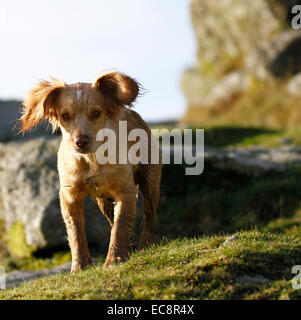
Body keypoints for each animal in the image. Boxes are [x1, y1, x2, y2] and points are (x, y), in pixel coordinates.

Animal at [17, 71, 161, 272]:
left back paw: (145, 244)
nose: (81, 141)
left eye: (96, 113)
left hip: (150, 181)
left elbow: (122, 223)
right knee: (112, 219)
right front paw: (80, 266)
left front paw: (114, 260)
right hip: (103, 201)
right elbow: (76, 231)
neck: (90, 160)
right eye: (65, 115)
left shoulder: (126, 190)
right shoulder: (69, 195)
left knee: (148, 215)